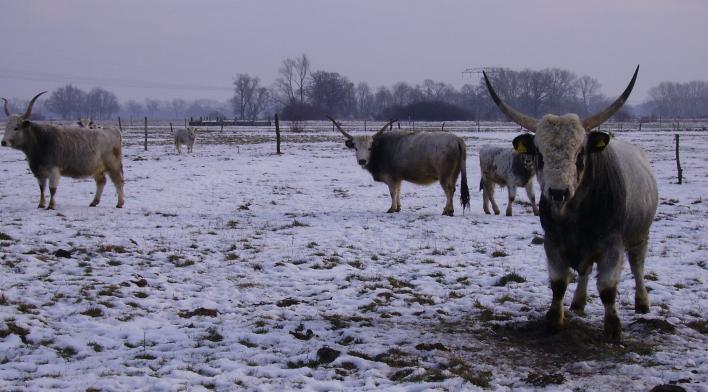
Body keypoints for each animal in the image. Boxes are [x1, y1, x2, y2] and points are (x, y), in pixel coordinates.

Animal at [330, 116, 470, 216]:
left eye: (369, 148)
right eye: (356, 148)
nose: (362, 161)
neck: (380, 149)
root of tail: (456, 139)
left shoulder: (390, 177)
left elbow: (392, 192)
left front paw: (392, 209)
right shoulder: (398, 178)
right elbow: (398, 191)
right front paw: (398, 207)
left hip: (444, 176)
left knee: (449, 190)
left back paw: (447, 211)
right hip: (454, 174)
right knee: (453, 189)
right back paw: (449, 209)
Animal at [482, 66, 660, 342]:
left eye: (579, 154)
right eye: (539, 154)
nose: (558, 192)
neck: (574, 216)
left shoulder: (612, 245)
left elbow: (607, 288)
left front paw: (613, 327)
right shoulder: (552, 241)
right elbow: (558, 284)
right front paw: (554, 320)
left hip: (641, 236)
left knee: (638, 266)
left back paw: (642, 303)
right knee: (586, 272)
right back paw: (578, 303)